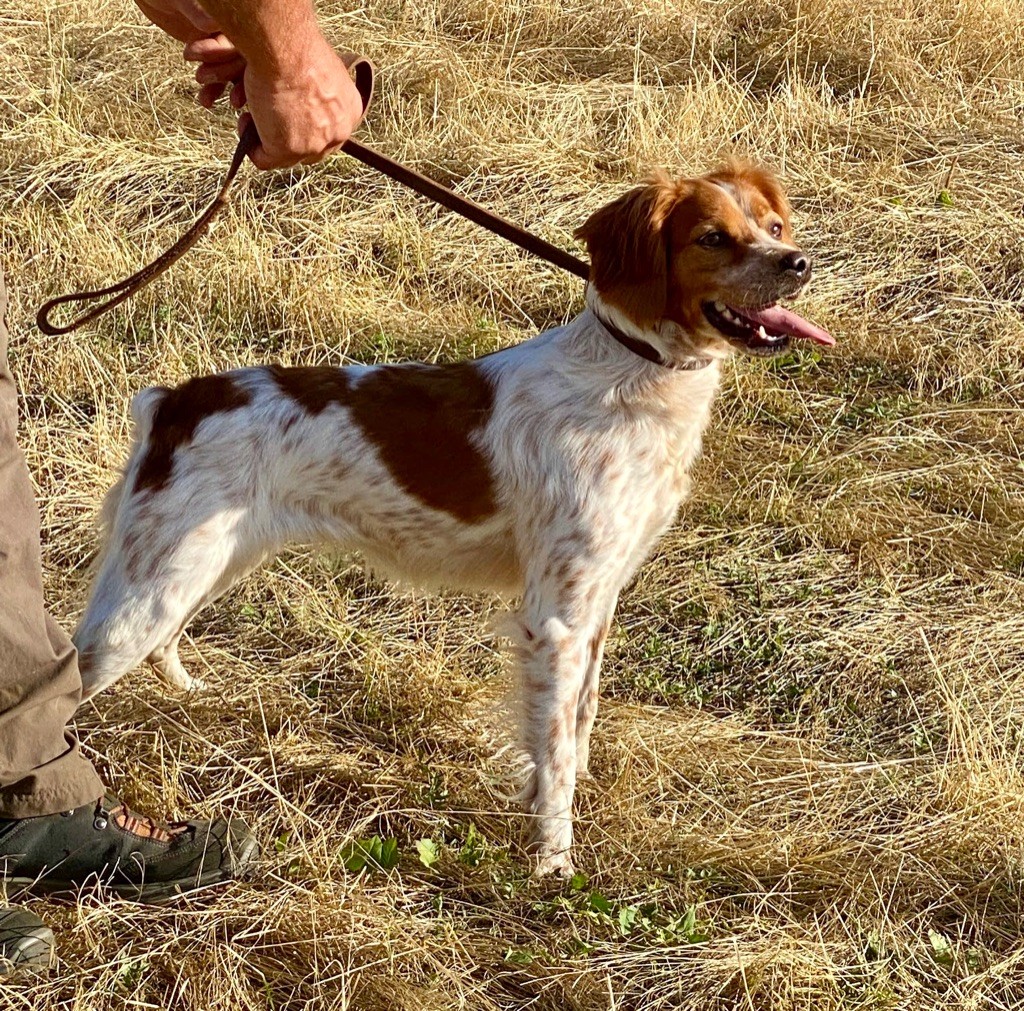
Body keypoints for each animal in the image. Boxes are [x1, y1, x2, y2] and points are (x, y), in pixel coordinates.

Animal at [77, 159, 831, 876]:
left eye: (773, 226)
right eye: (712, 238)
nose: (797, 262)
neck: (629, 377)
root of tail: (175, 400)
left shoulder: (599, 598)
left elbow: (579, 717)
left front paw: (573, 794)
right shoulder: (557, 619)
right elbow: (554, 748)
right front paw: (554, 856)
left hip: (206, 560)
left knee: (165, 638)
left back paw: (189, 690)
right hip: (154, 584)